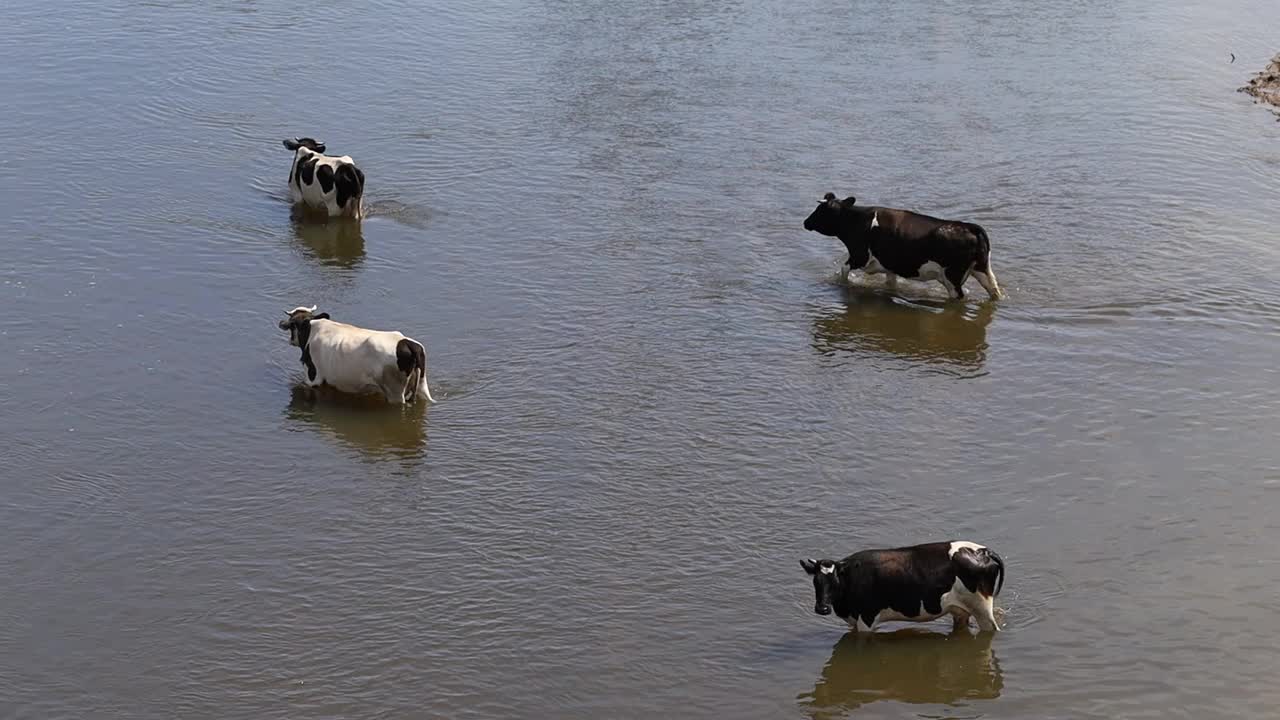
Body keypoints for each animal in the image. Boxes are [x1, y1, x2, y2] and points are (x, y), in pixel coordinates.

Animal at [793, 540, 1003, 630]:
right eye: (816, 581)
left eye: (835, 582)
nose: (822, 608)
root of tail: (982, 550)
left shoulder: (866, 619)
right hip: (960, 610)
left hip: (982, 608)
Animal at [803, 192, 1003, 298]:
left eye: (820, 210)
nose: (806, 222)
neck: (856, 220)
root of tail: (969, 226)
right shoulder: (890, 265)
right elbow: (890, 283)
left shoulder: (859, 256)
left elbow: (843, 270)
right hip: (982, 269)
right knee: (994, 291)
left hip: (952, 277)